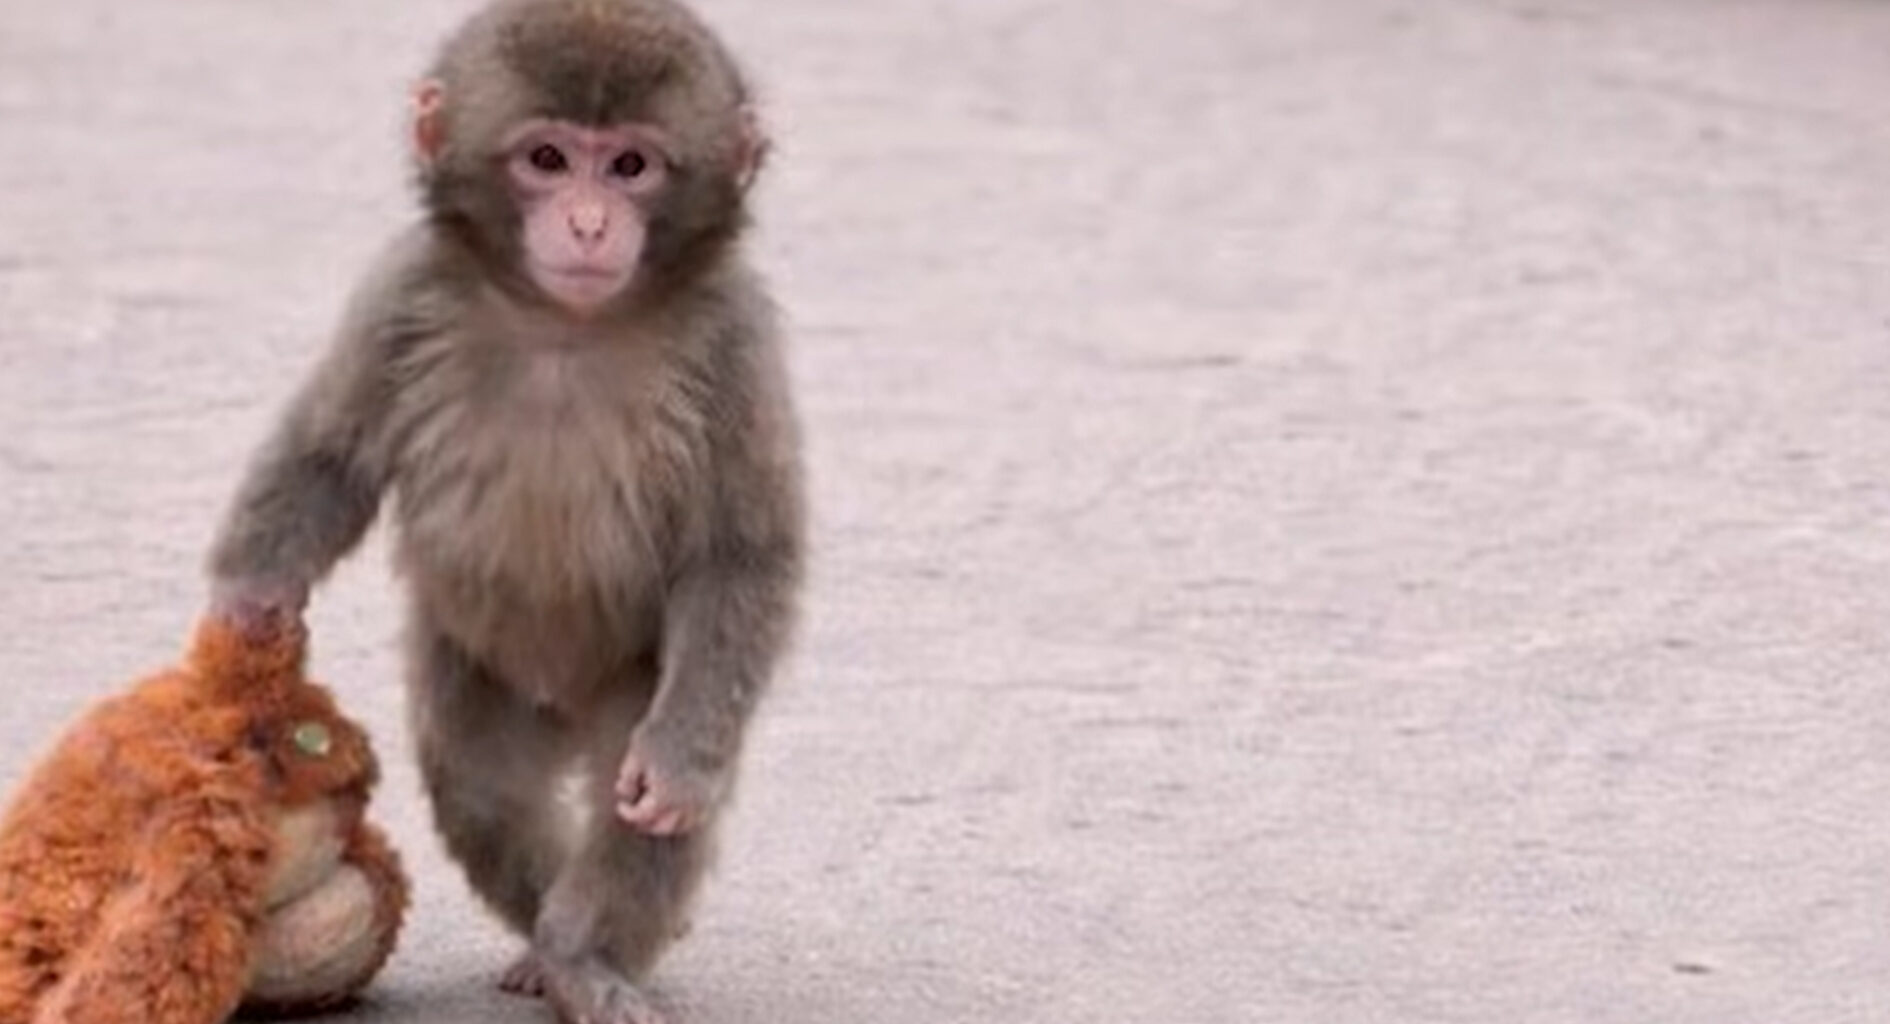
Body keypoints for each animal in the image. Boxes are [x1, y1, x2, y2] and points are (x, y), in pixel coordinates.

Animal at [203, 2, 803, 1022]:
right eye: (548, 159)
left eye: (630, 165)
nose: (591, 221)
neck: (567, 324)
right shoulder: (399, 296)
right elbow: (330, 454)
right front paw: (249, 599)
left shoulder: (736, 343)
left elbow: (739, 557)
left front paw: (677, 765)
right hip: (480, 670)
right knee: (480, 789)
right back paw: (542, 941)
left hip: (629, 679)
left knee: (632, 808)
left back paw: (585, 956)